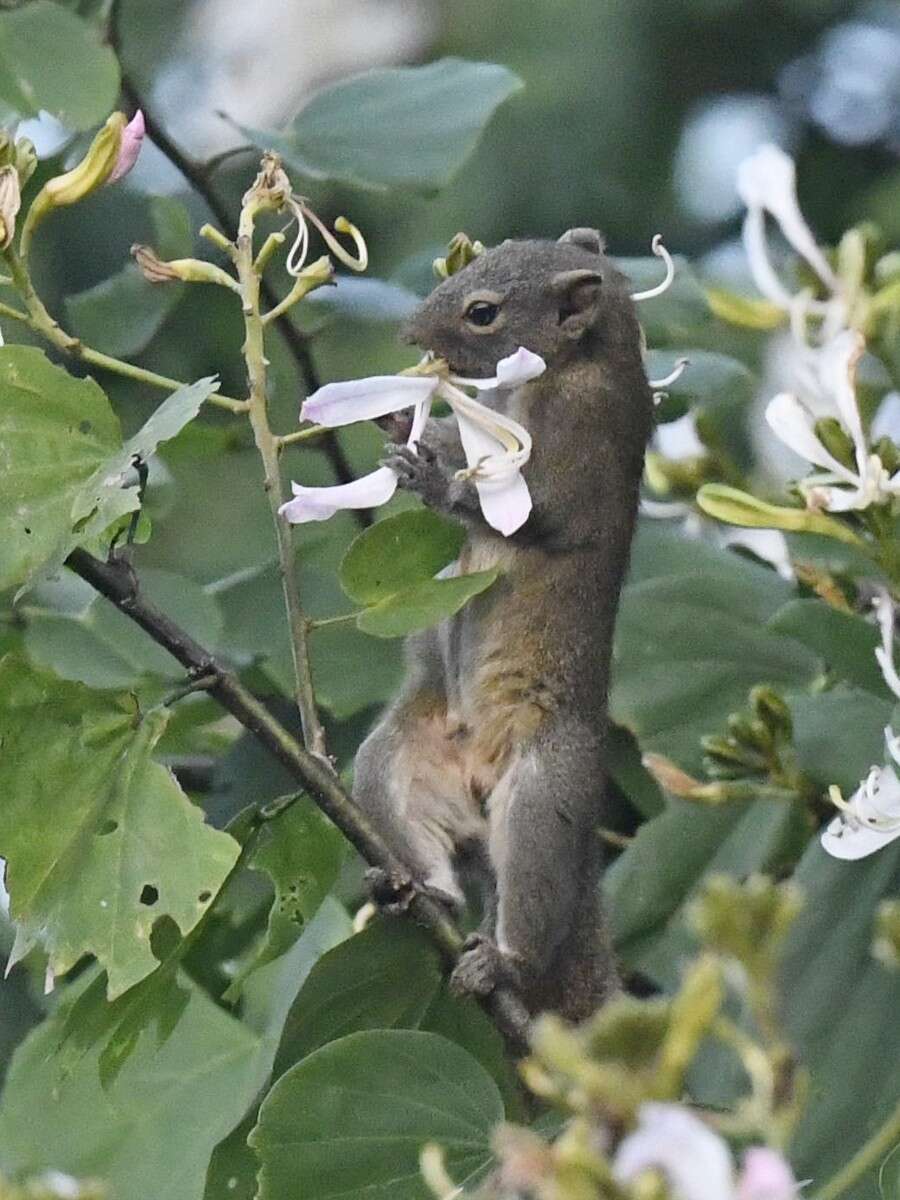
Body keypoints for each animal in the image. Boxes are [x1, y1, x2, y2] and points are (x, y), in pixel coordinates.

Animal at [352, 226, 657, 1022]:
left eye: (483, 312)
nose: (411, 338)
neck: (585, 358)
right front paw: (401, 421)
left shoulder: (582, 441)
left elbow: (533, 513)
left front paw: (434, 478)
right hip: (393, 765)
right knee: (438, 868)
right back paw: (415, 891)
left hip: (543, 800)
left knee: (532, 912)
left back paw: (503, 963)